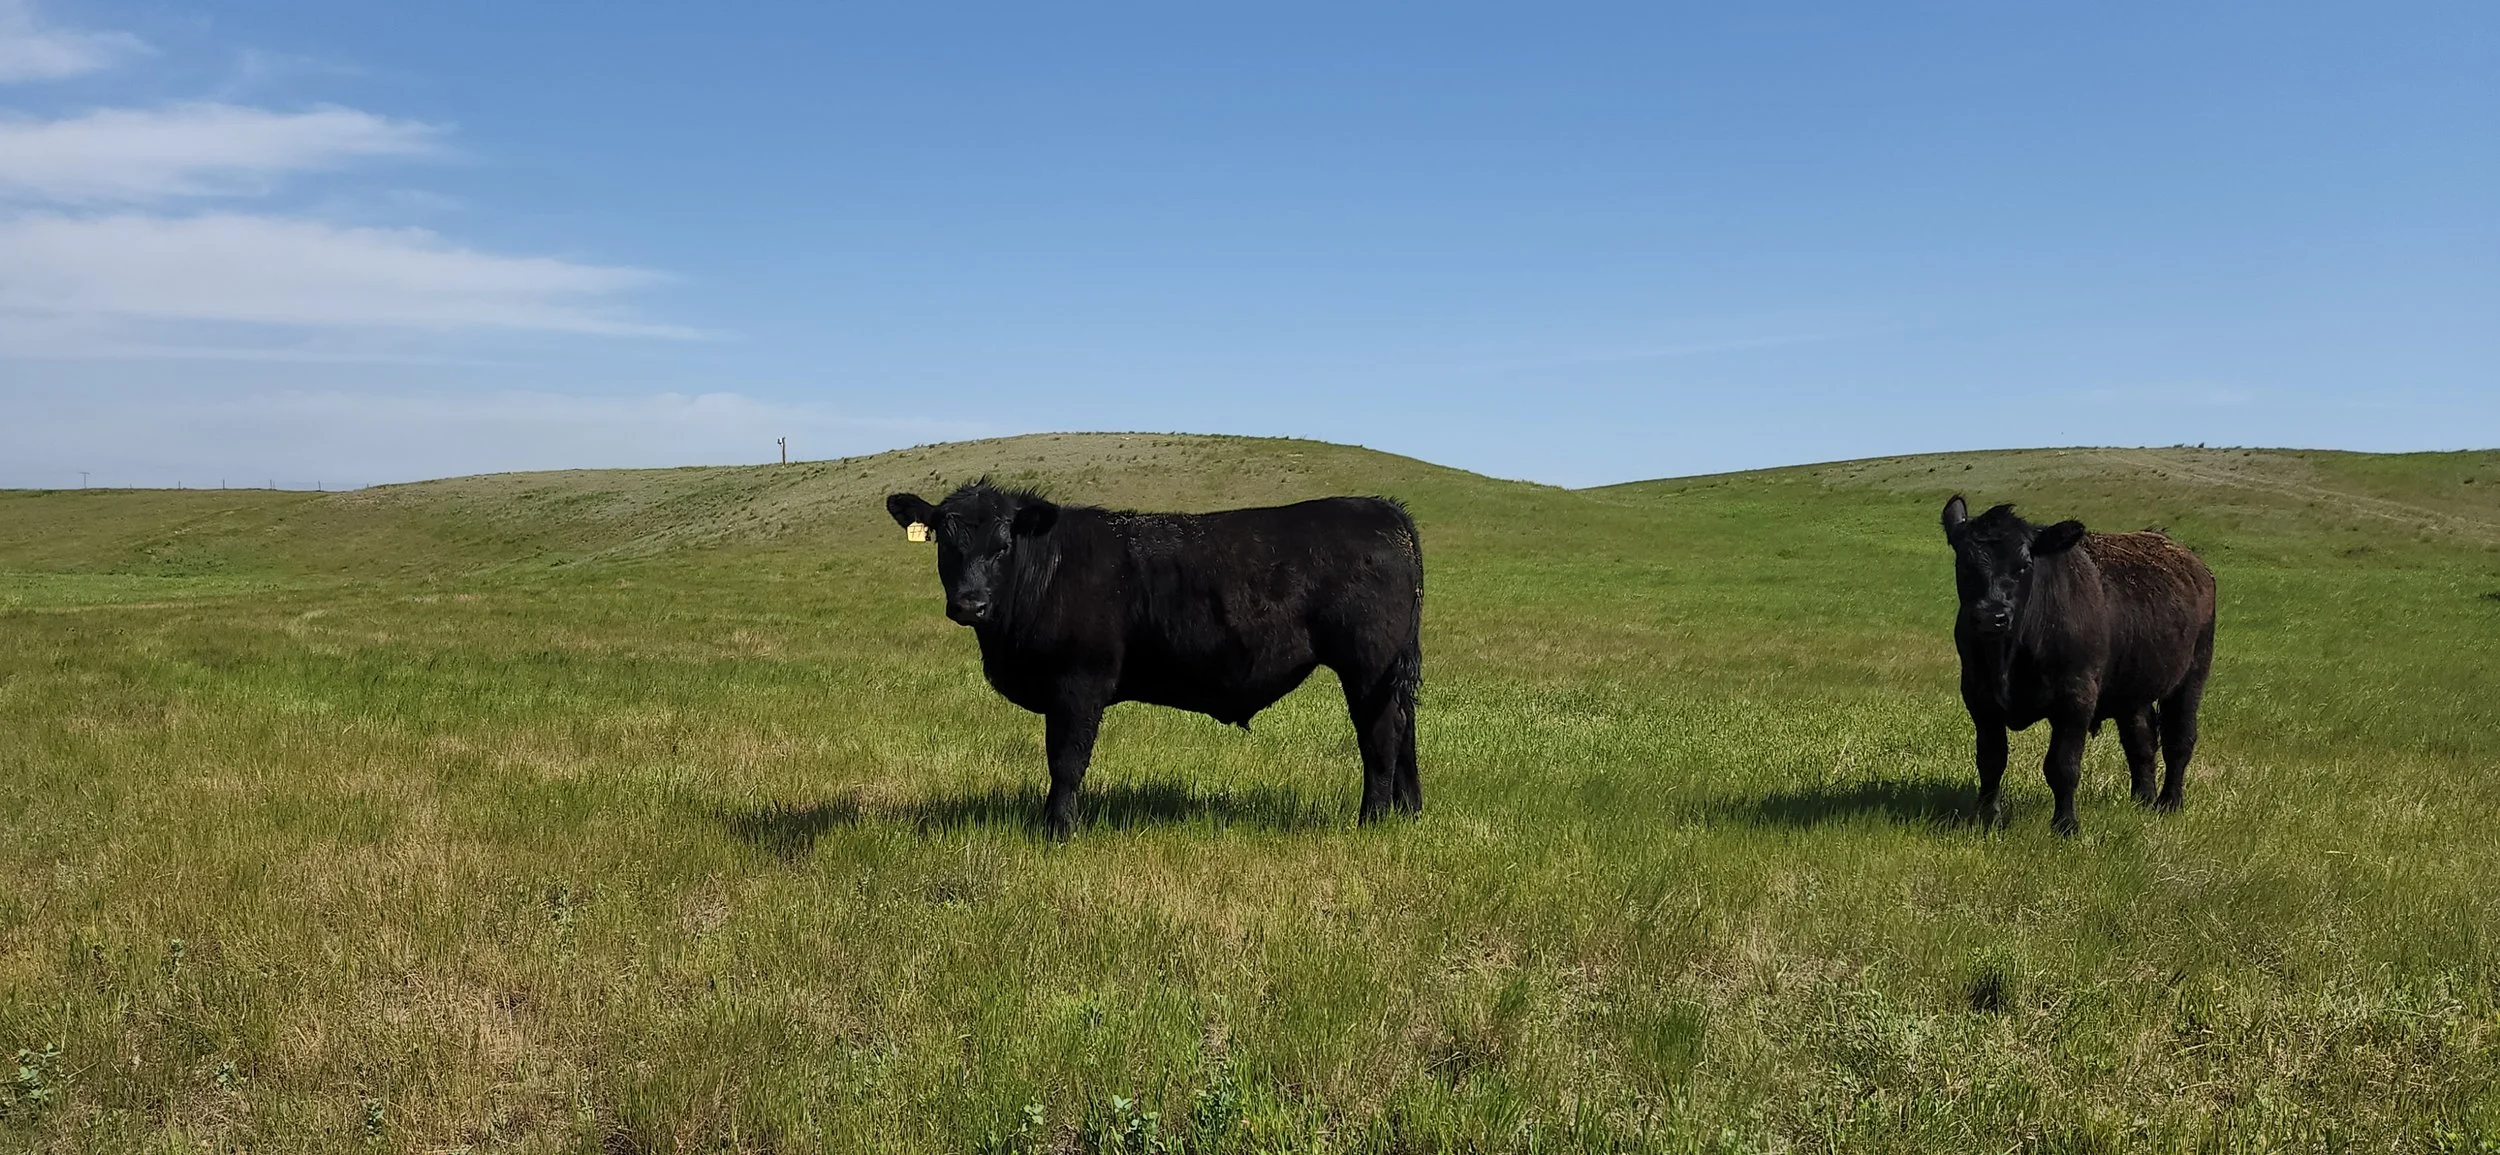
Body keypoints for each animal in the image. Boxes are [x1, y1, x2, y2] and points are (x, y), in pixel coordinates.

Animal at [886, 480, 1424, 838]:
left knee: (1380, 735)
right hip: (1389, 672)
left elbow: (1066, 760)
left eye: (1002, 546)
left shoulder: (1078, 683)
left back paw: (1371, 821)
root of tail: (1385, 511)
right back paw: (1409, 811)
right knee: (1405, 730)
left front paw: (1057, 830)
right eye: (944, 542)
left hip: (1367, 666)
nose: (969, 604)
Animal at [1940, 495, 2217, 835]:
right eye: (1964, 564)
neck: (2009, 656)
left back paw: (2169, 802)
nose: (1992, 616)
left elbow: (2063, 765)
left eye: (2024, 566)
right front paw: (1988, 818)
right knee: (2141, 741)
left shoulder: (2076, 699)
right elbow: (1991, 760)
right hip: (2132, 691)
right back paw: (2143, 799)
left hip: (2191, 676)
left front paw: (2066, 824)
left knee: (2179, 739)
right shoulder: (1979, 697)